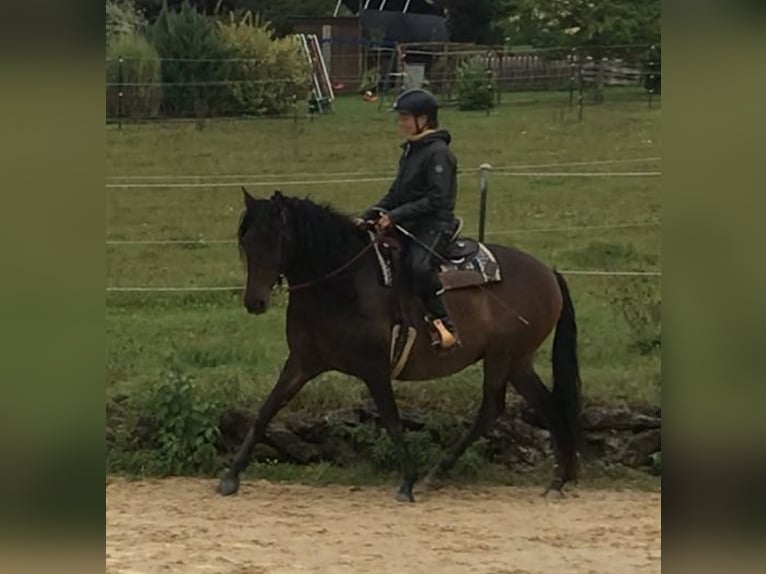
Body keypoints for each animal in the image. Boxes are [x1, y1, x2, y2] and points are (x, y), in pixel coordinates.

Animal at [219, 190, 584, 504]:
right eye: (247, 241)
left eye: (276, 238)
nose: (254, 301)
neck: (343, 284)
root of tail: (548, 272)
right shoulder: (302, 362)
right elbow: (266, 411)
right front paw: (231, 476)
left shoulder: (375, 368)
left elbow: (393, 421)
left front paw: (407, 482)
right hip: (519, 362)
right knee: (547, 406)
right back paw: (556, 481)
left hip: (502, 358)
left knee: (491, 410)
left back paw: (440, 474)